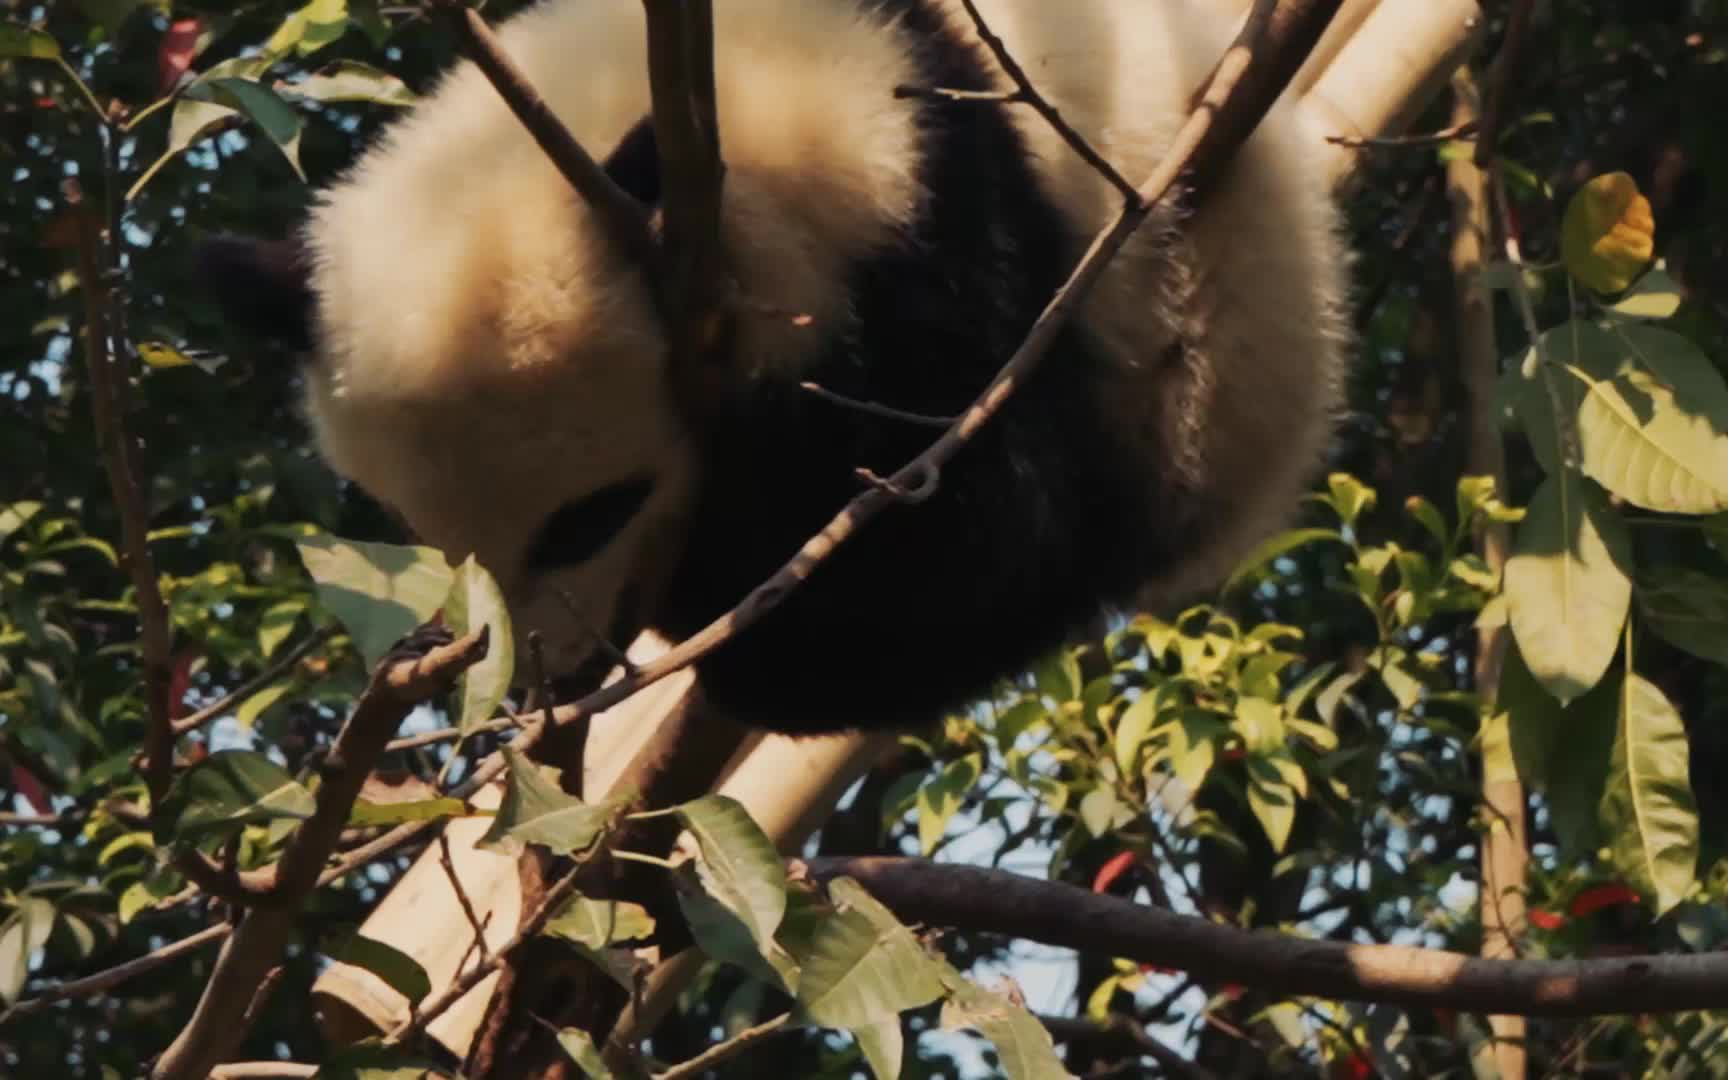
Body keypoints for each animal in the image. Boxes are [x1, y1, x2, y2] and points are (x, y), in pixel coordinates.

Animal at [198, 0, 1347, 732]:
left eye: (585, 520)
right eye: (431, 538)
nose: (555, 673)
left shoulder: (942, 222)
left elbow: (979, 532)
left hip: (1200, 360)